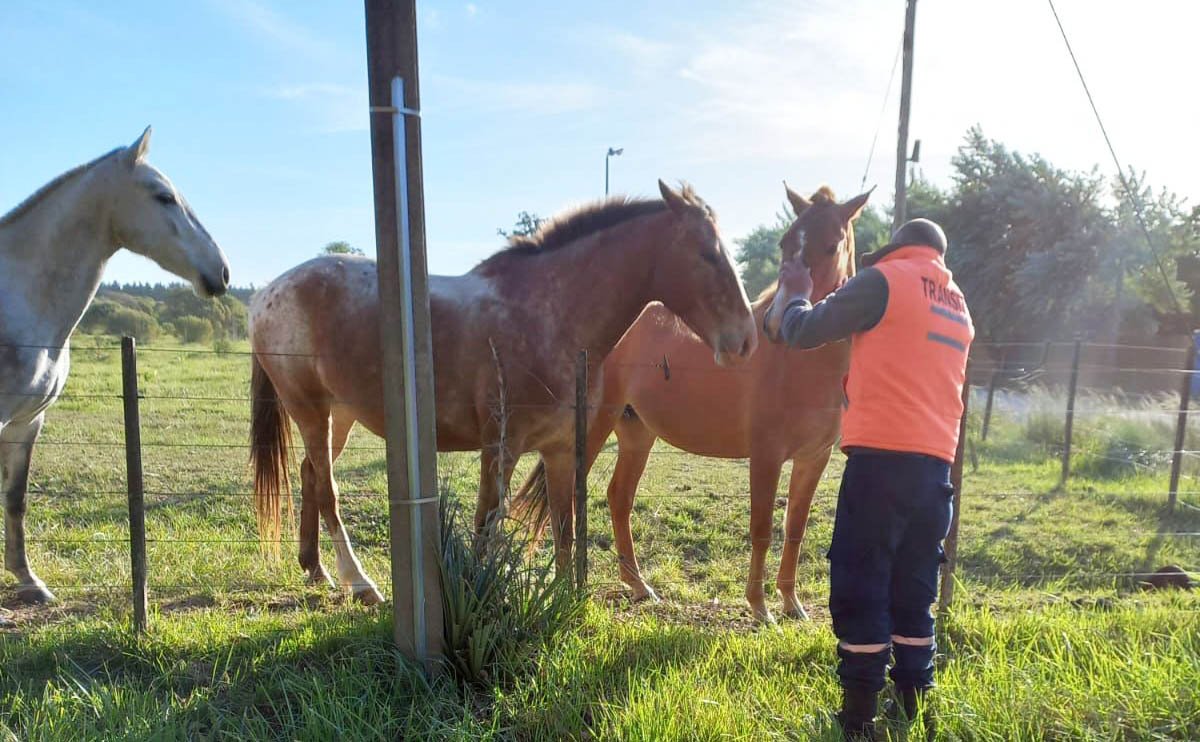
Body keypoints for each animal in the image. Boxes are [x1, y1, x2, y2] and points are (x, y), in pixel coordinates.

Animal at [248, 180, 757, 604]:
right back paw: (359, 581)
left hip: (340, 414)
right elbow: (487, 524)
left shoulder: (559, 450)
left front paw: (563, 602)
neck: (547, 316)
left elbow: (564, 526)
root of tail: (266, 294)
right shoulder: (501, 447)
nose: (746, 340)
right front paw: (480, 593)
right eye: (707, 254)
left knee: (310, 474)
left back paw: (315, 568)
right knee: (328, 489)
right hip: (310, 409)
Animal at [515, 184, 870, 624]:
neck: (800, 361)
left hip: (636, 433)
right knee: (569, 500)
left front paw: (792, 603)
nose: (773, 323)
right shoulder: (766, 455)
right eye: (786, 242)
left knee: (619, 497)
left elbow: (795, 528)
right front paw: (760, 607)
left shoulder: (814, 459)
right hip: (596, 428)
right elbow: (762, 529)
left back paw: (639, 586)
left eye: (833, 244)